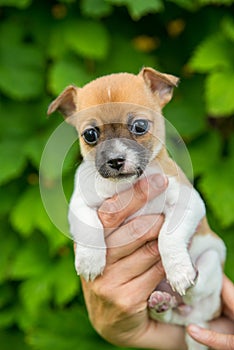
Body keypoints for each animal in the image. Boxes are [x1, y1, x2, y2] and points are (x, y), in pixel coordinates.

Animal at [47, 67, 225, 348]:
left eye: (140, 126)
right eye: (90, 135)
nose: (115, 160)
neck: (125, 185)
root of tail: (194, 320)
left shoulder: (189, 202)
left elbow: (168, 236)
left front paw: (178, 270)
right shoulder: (79, 203)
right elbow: (89, 227)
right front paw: (90, 260)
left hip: (211, 260)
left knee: (195, 290)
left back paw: (184, 280)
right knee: (170, 314)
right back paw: (161, 303)